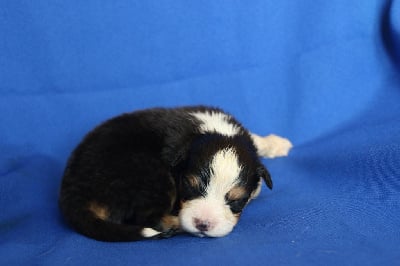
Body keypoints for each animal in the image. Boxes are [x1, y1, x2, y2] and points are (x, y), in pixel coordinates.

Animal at [57, 105, 292, 241]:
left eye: (237, 199)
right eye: (189, 185)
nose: (203, 224)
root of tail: (72, 193)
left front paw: (276, 143)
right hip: (151, 175)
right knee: (150, 218)